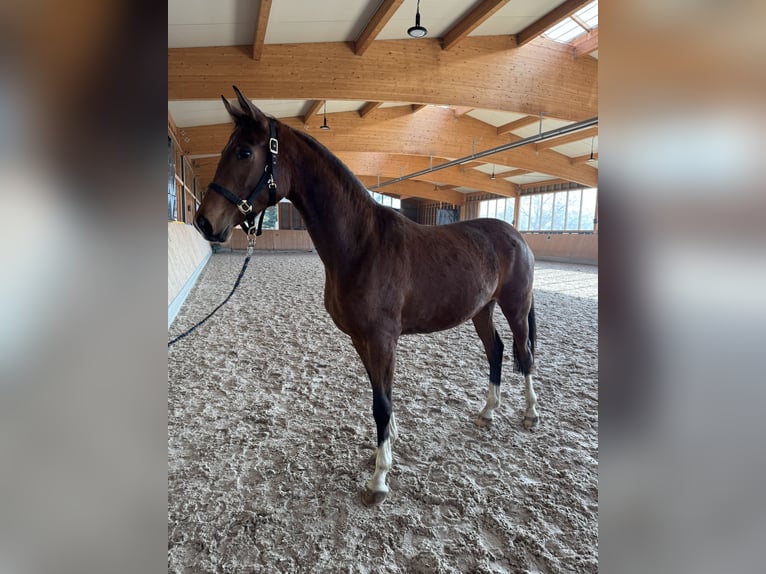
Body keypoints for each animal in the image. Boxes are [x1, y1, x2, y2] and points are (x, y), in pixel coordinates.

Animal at [194, 87, 539, 506]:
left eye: (244, 152)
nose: (204, 222)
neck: (362, 244)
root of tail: (515, 234)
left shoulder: (382, 338)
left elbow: (381, 403)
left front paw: (379, 479)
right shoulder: (361, 339)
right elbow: (379, 394)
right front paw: (386, 447)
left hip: (515, 307)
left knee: (524, 353)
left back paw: (530, 415)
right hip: (482, 310)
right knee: (497, 351)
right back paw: (487, 412)